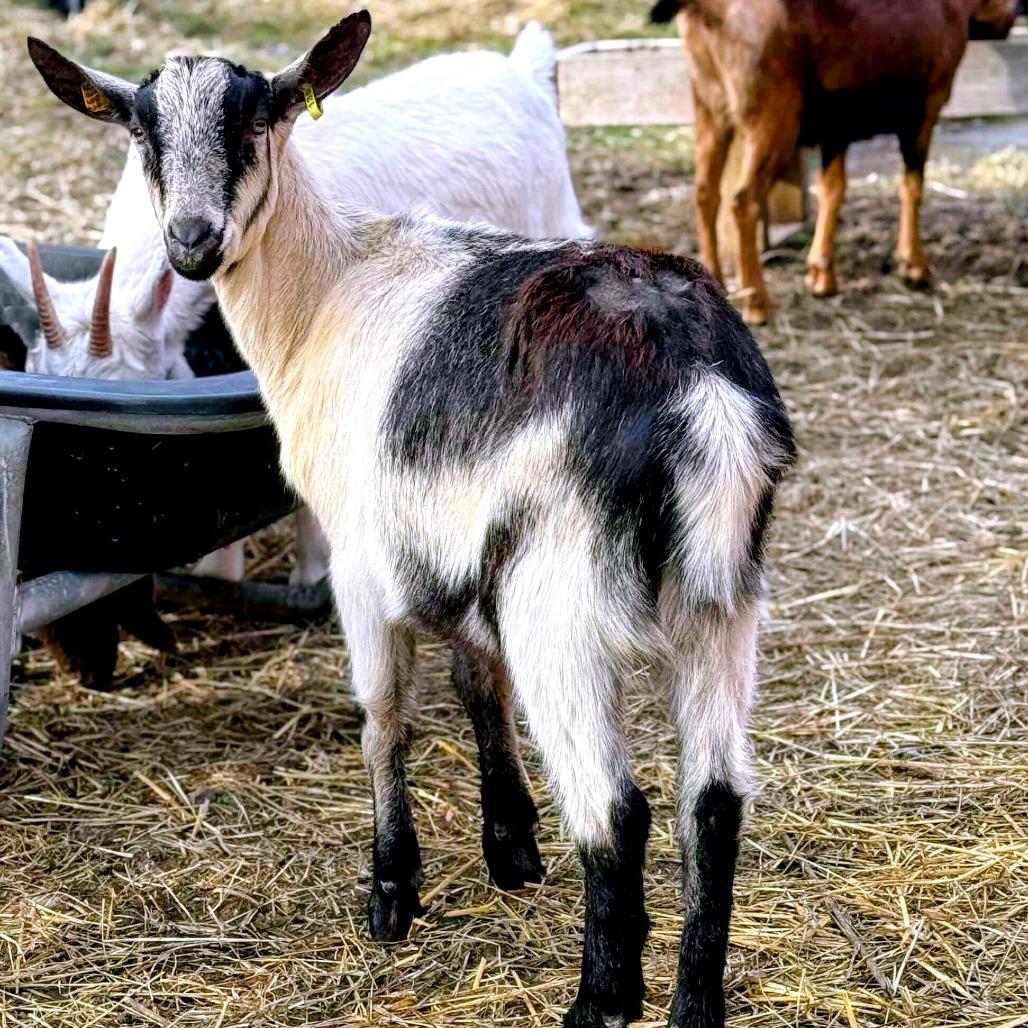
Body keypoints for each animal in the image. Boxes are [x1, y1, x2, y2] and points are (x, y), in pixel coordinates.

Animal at [30, 14, 794, 1025]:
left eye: (254, 123)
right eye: (142, 135)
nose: (191, 242)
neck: (323, 291)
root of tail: (701, 395)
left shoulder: (362, 554)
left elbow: (384, 714)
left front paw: (392, 891)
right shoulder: (449, 535)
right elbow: (476, 678)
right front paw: (509, 844)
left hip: (561, 599)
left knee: (615, 809)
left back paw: (600, 1000)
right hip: (724, 602)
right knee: (713, 804)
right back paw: (692, 1005)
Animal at [651, 0, 1020, 324]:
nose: (1014, 13)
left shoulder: (837, 124)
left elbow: (832, 189)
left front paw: (822, 275)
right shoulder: (926, 108)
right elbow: (912, 186)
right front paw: (914, 267)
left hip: (709, 109)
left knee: (705, 193)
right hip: (772, 115)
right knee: (743, 200)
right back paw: (757, 302)